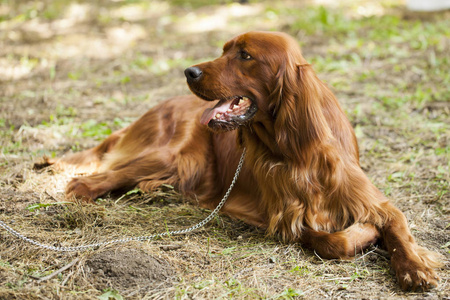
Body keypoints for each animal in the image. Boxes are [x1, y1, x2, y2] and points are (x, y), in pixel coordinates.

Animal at [44, 31, 442, 290]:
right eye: (224, 50)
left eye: (245, 55)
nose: (189, 71)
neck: (296, 150)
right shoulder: (285, 217)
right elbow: (331, 240)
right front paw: (365, 235)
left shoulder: (375, 201)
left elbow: (395, 227)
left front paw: (414, 268)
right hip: (169, 155)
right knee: (99, 176)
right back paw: (81, 189)